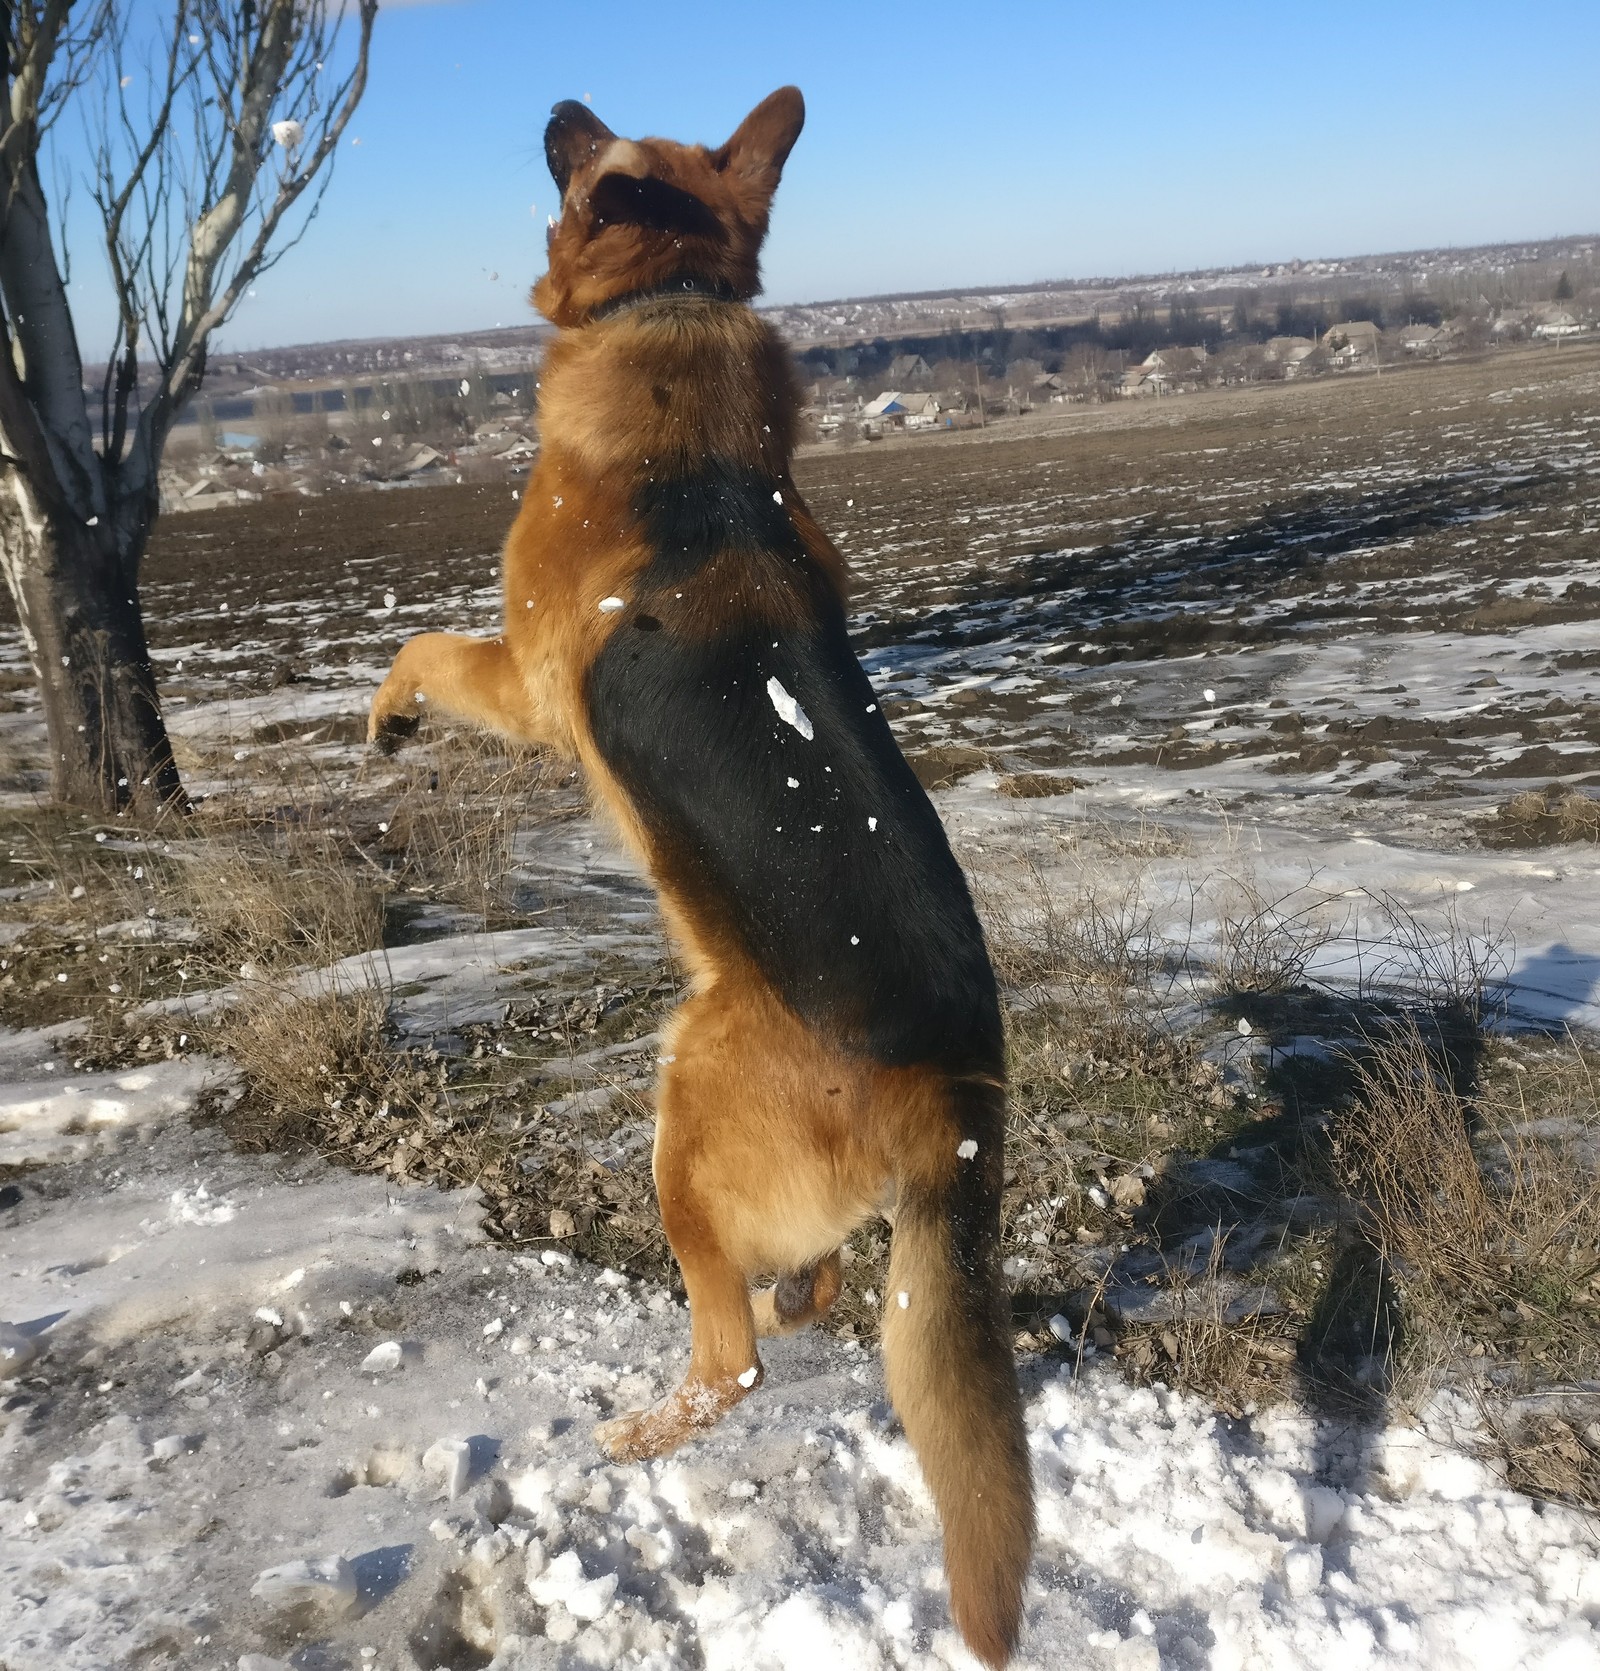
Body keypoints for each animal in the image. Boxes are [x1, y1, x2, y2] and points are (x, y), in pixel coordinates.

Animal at [367, 91, 1035, 1671]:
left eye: (597, 156)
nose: (556, 106)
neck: (672, 311)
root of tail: (956, 1090)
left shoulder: (526, 681)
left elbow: (422, 648)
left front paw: (388, 720)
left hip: (681, 1101)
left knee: (730, 1360)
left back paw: (644, 1424)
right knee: (820, 1283)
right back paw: (792, 1295)